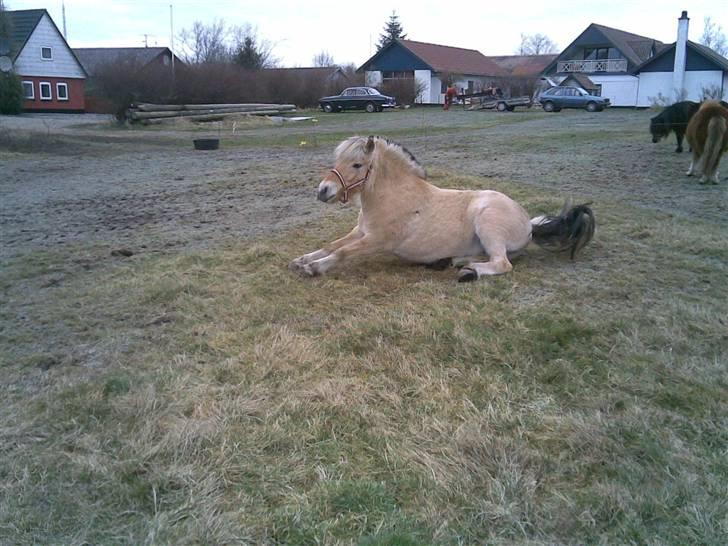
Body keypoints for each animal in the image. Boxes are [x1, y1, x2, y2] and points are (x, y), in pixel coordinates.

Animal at [290, 135, 596, 280]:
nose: (323, 191)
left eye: (357, 165)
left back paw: (469, 272)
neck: (392, 197)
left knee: (502, 263)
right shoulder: (361, 233)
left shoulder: (377, 240)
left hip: (488, 223)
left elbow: (342, 252)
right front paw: (301, 259)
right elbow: (332, 245)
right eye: (338, 159)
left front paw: (314, 268)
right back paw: (453, 262)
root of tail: (528, 223)